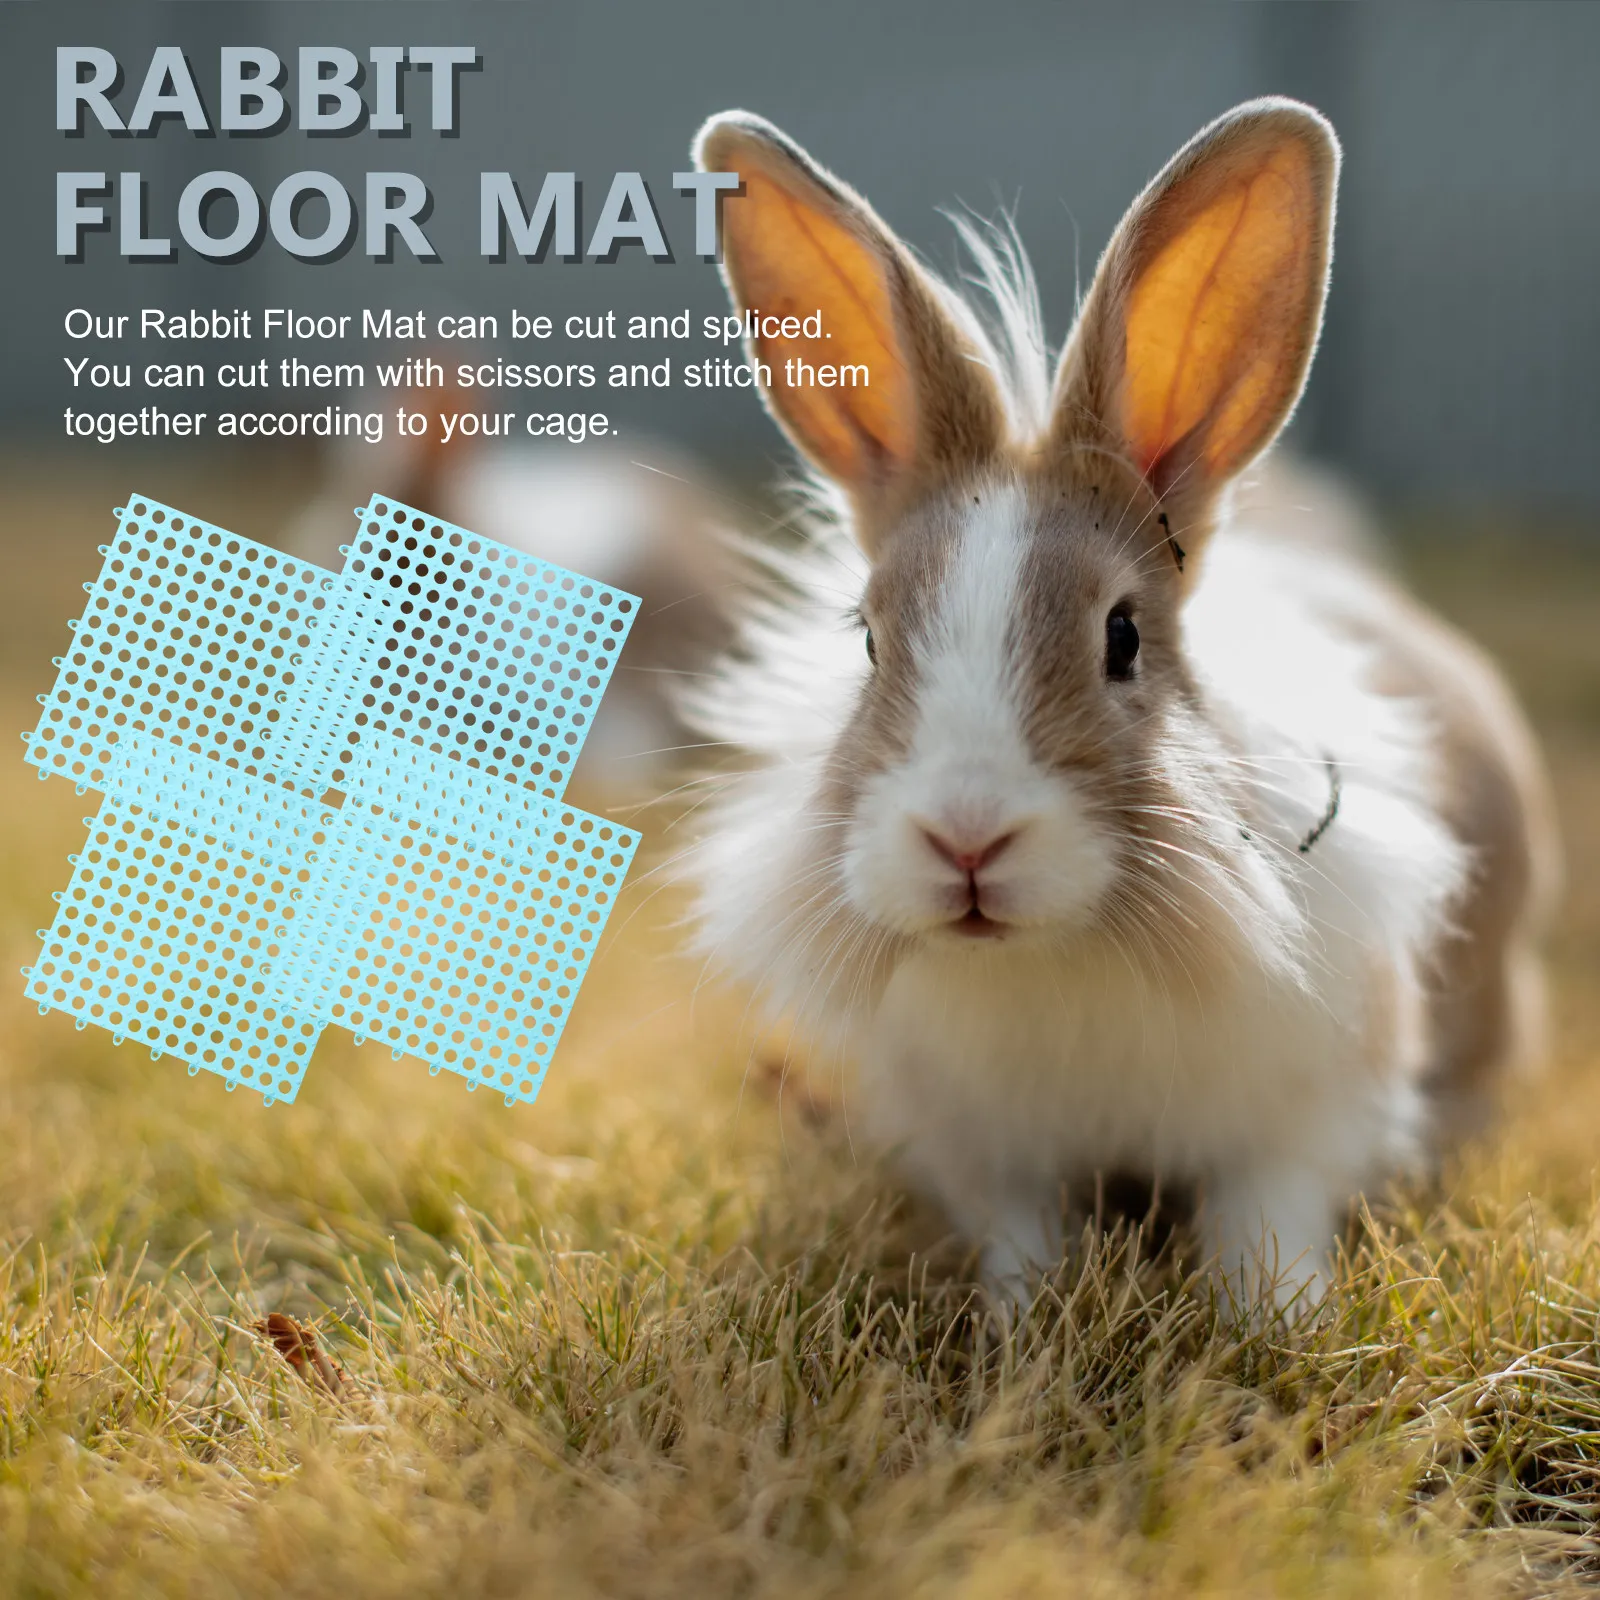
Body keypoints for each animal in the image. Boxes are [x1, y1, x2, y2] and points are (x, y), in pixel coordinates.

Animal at [681, 97, 1559, 1309]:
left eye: (1123, 637)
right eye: (866, 640)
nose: (966, 840)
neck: (1054, 952)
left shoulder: (1314, 1112)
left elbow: (1267, 1214)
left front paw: (1272, 1318)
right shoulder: (983, 1150)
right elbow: (1019, 1235)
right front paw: (1021, 1320)